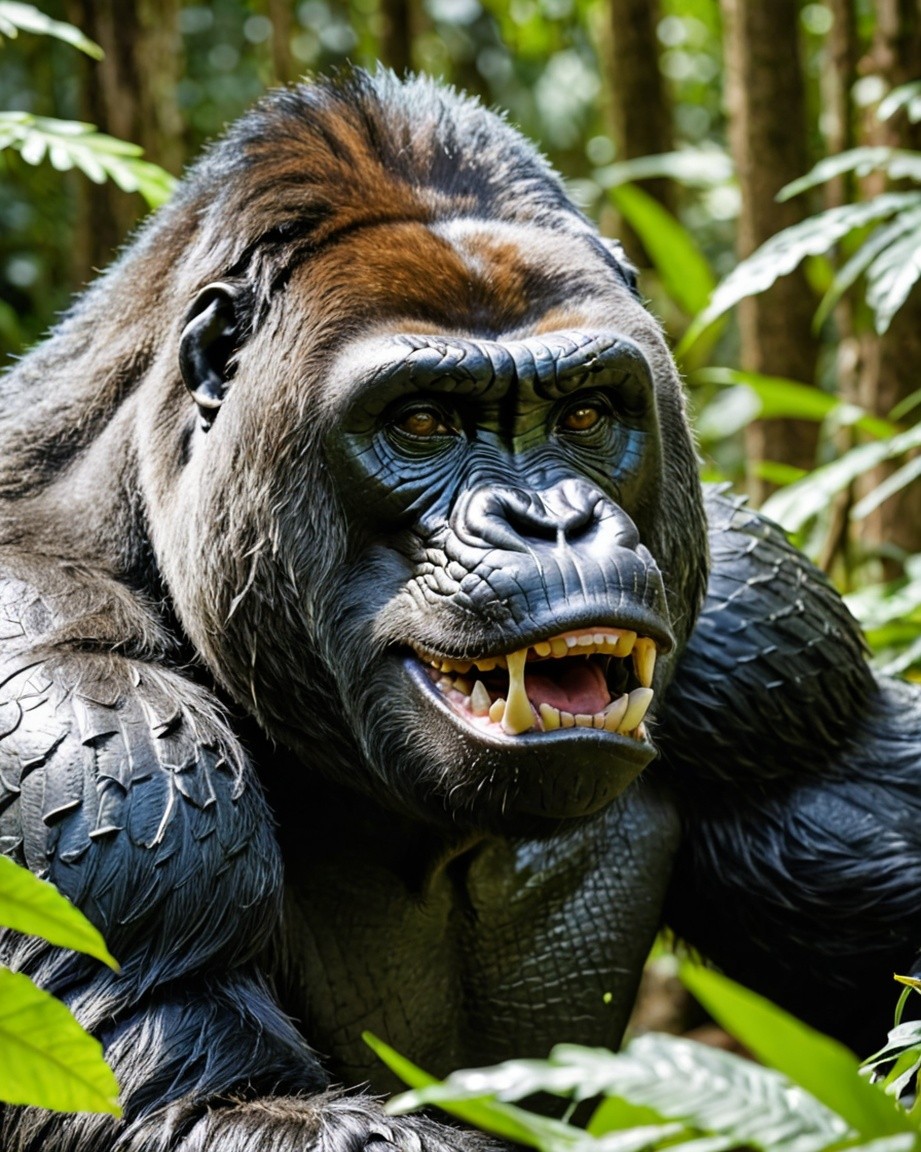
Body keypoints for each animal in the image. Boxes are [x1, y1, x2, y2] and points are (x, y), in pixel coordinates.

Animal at [0, 69, 919, 1151]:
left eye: (586, 412)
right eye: (422, 421)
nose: (551, 524)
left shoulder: (768, 634)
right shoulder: (81, 720)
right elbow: (193, 1102)